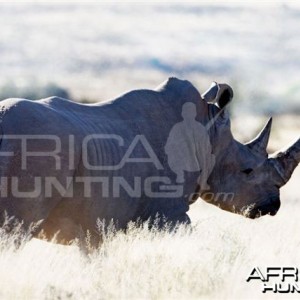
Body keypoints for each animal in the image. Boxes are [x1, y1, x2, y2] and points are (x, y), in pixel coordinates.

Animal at [0, 78, 298, 246]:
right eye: (247, 170)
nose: (272, 206)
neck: (209, 134)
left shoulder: (94, 222)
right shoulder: (168, 213)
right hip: (36, 151)